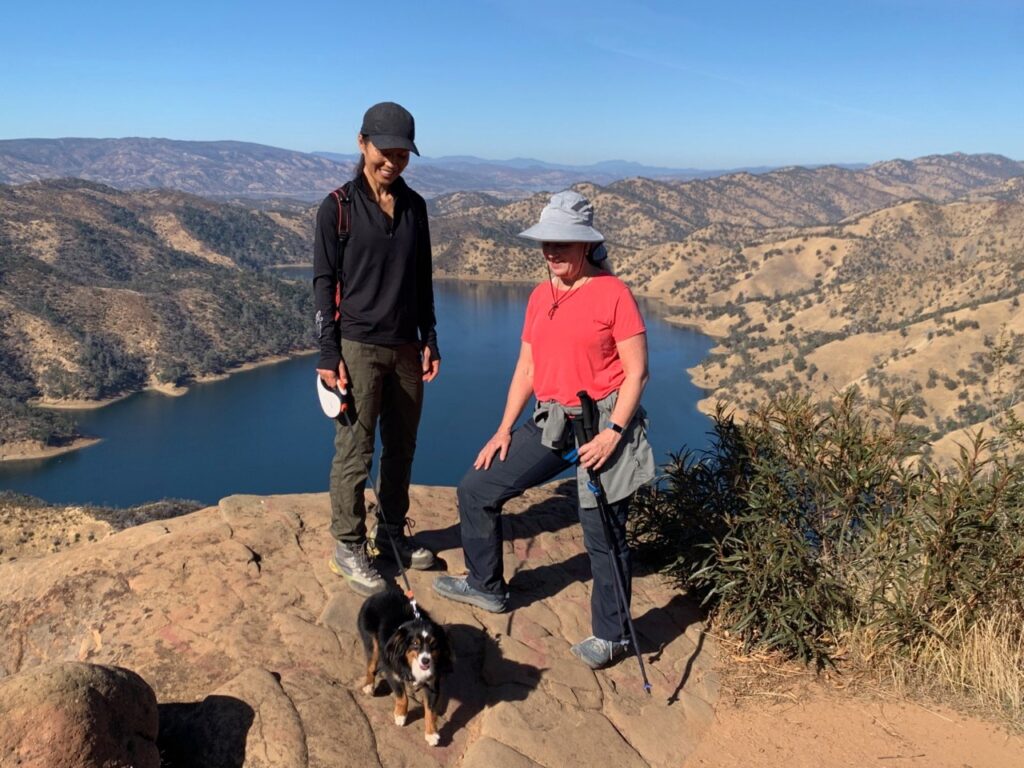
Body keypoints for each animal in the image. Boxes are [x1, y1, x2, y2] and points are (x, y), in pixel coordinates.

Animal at [358, 589, 454, 745]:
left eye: (434, 644)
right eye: (415, 643)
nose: (426, 661)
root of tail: (381, 593)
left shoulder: (432, 684)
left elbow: (431, 710)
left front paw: (431, 734)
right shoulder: (392, 673)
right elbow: (402, 697)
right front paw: (400, 716)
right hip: (372, 642)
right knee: (371, 665)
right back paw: (368, 685)